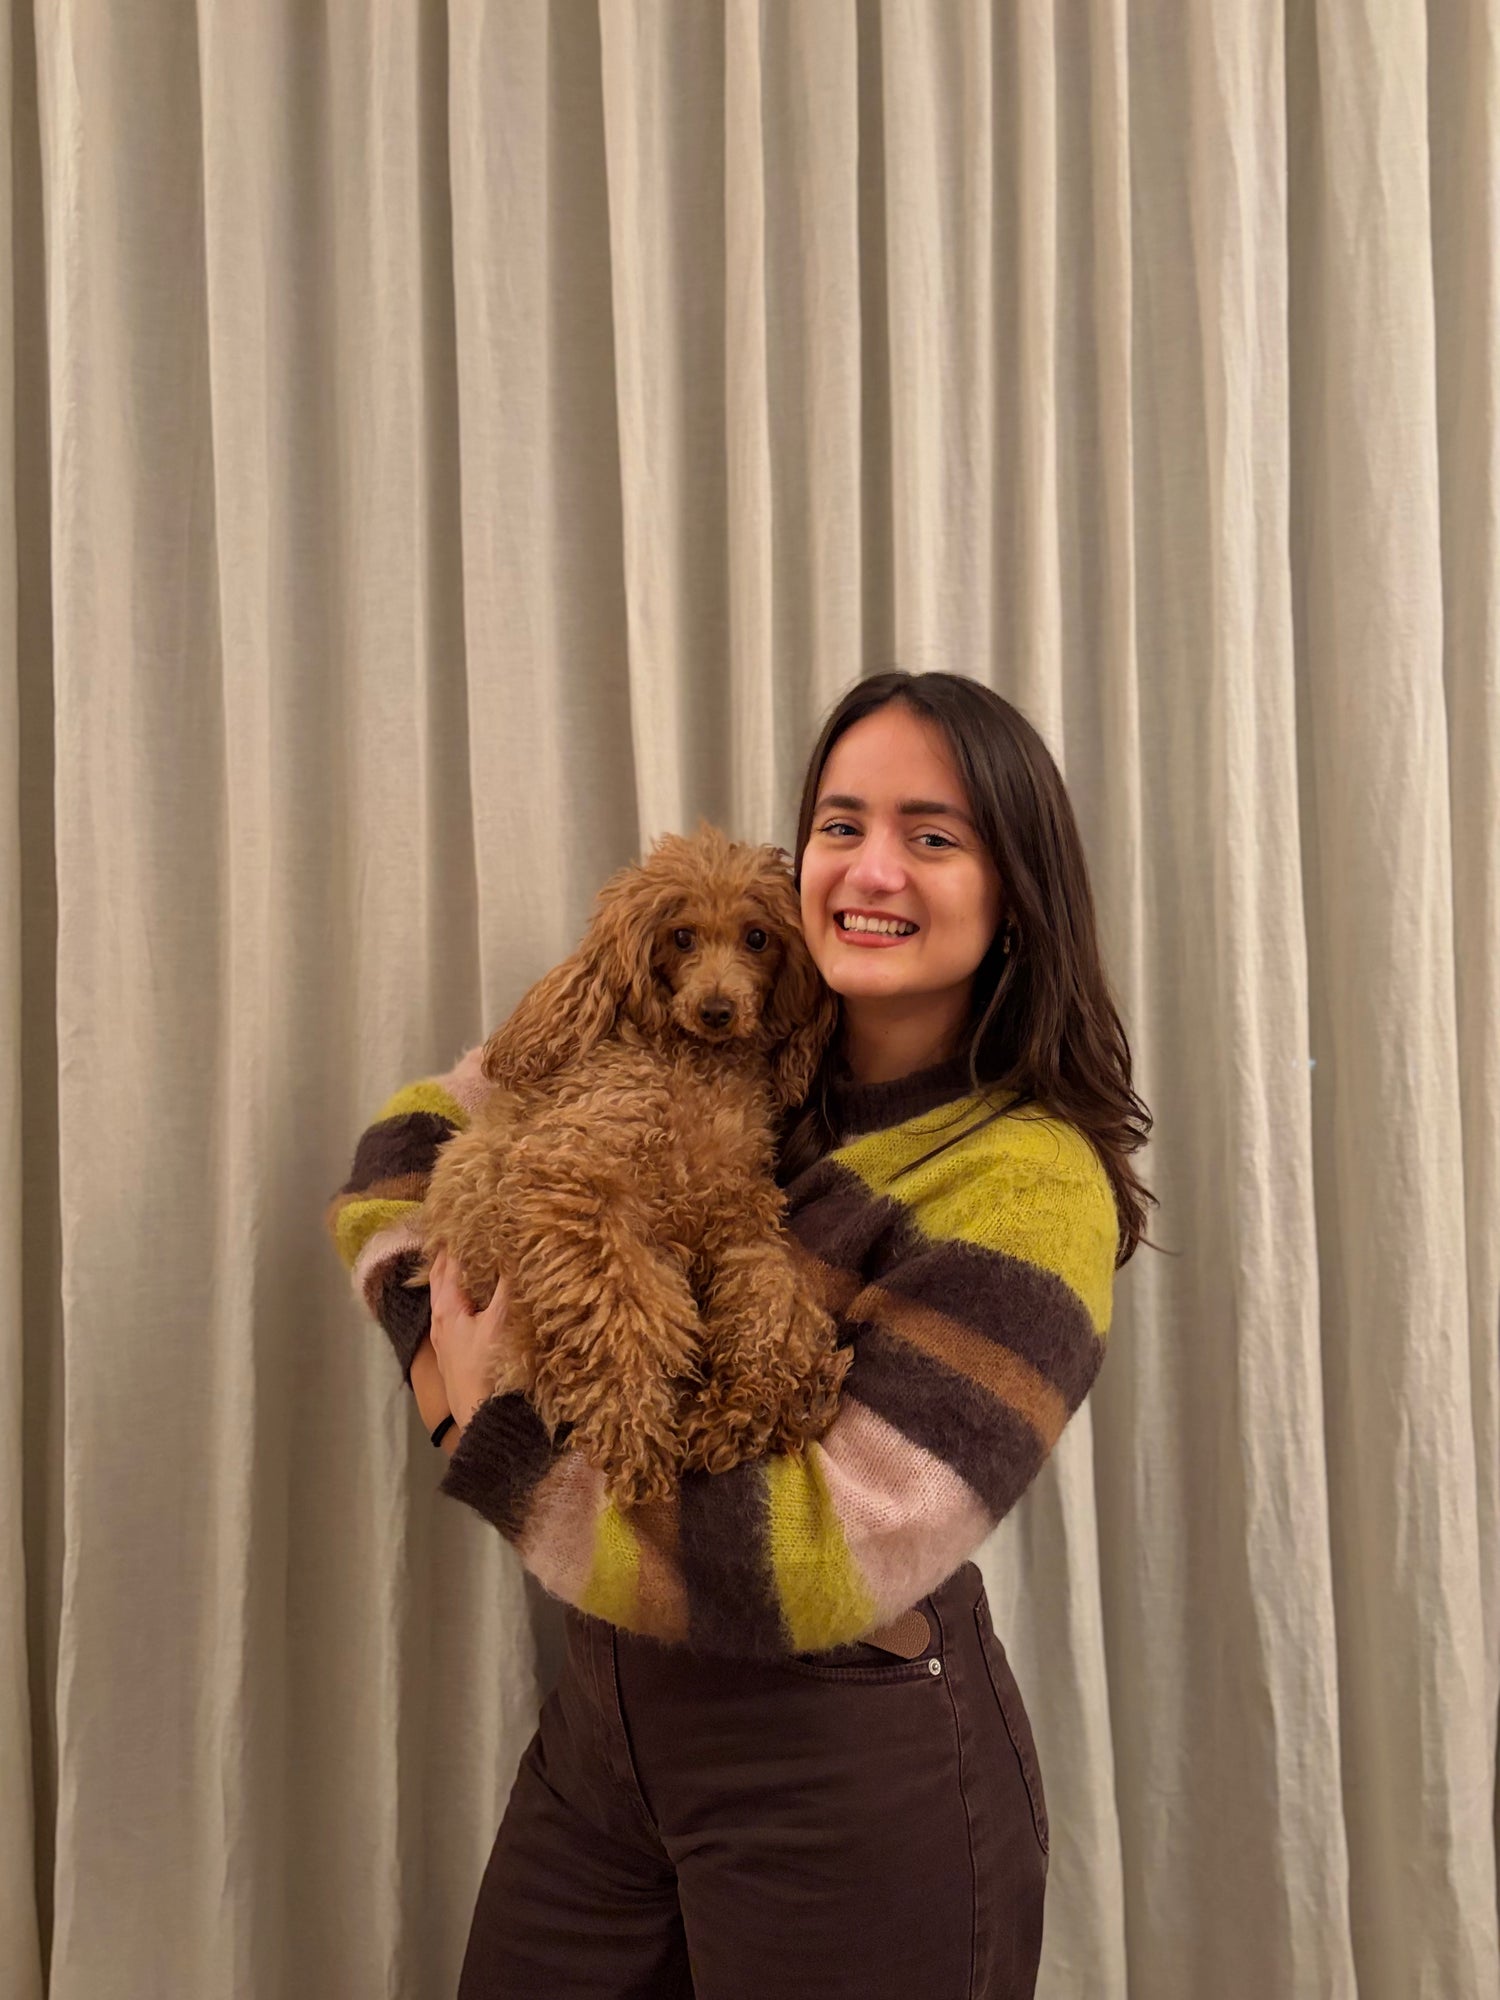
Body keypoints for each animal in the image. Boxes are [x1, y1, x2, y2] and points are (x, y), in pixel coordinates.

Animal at [415, 824, 851, 1506]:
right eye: (682, 936)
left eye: (757, 938)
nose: (717, 1010)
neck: (698, 1066)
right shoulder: (572, 1181)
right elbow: (621, 1312)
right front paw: (637, 1432)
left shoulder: (738, 1208)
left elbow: (768, 1291)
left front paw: (753, 1394)